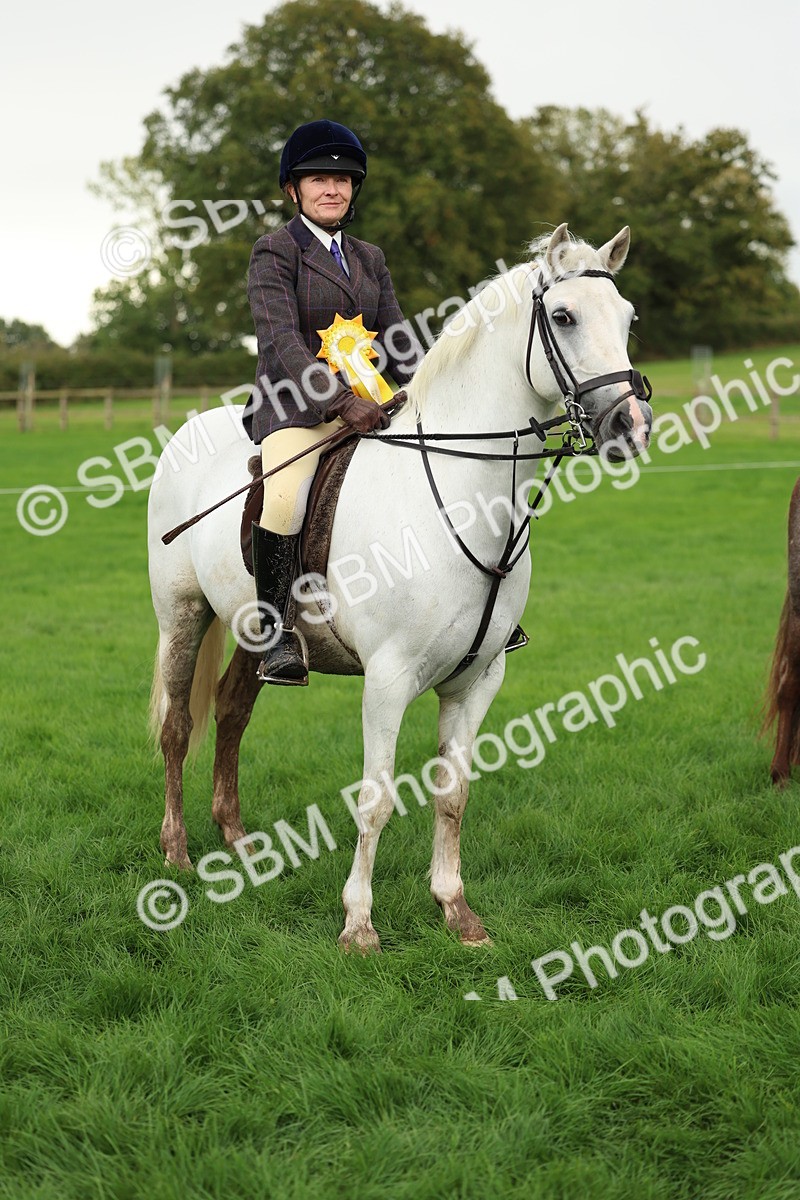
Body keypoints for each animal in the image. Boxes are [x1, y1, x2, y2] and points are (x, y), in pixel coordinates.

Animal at [147, 222, 653, 952]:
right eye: (563, 317)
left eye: (628, 318)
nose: (630, 428)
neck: (461, 493)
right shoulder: (387, 680)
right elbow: (376, 798)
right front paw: (358, 925)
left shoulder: (478, 680)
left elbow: (454, 792)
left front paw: (457, 912)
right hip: (182, 617)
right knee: (178, 726)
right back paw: (179, 852)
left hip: (253, 629)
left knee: (233, 714)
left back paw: (238, 842)